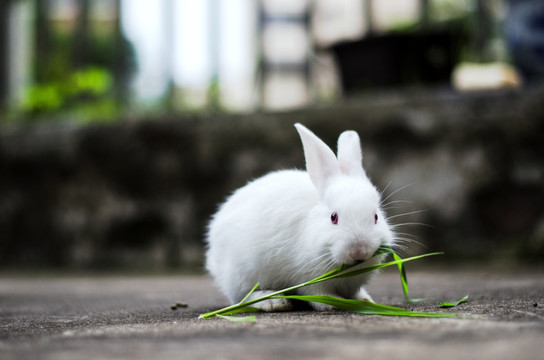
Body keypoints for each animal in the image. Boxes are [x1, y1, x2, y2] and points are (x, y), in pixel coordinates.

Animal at [206, 122, 394, 310]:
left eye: (376, 217)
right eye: (333, 217)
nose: (359, 250)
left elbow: (355, 292)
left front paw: (364, 299)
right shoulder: (309, 276)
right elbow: (317, 293)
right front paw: (332, 303)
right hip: (242, 274)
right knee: (242, 297)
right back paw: (273, 301)